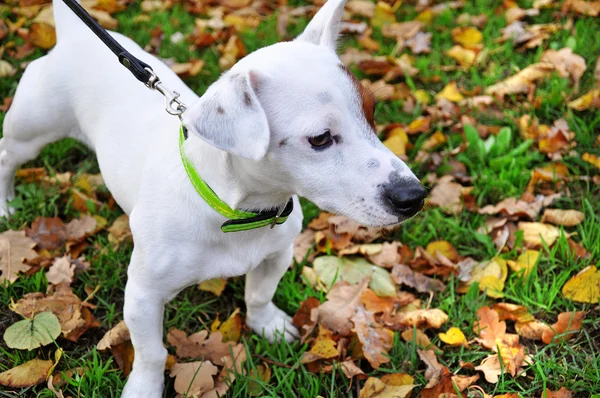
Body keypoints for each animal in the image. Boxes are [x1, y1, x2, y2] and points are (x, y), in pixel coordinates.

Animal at [3, 0, 426, 394]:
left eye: (372, 113)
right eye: (320, 139)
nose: (414, 196)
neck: (234, 212)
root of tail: (75, 36)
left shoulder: (277, 254)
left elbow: (259, 294)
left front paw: (267, 324)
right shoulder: (142, 295)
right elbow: (152, 352)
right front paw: (145, 387)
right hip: (31, 130)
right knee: (8, 155)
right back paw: (6, 204)